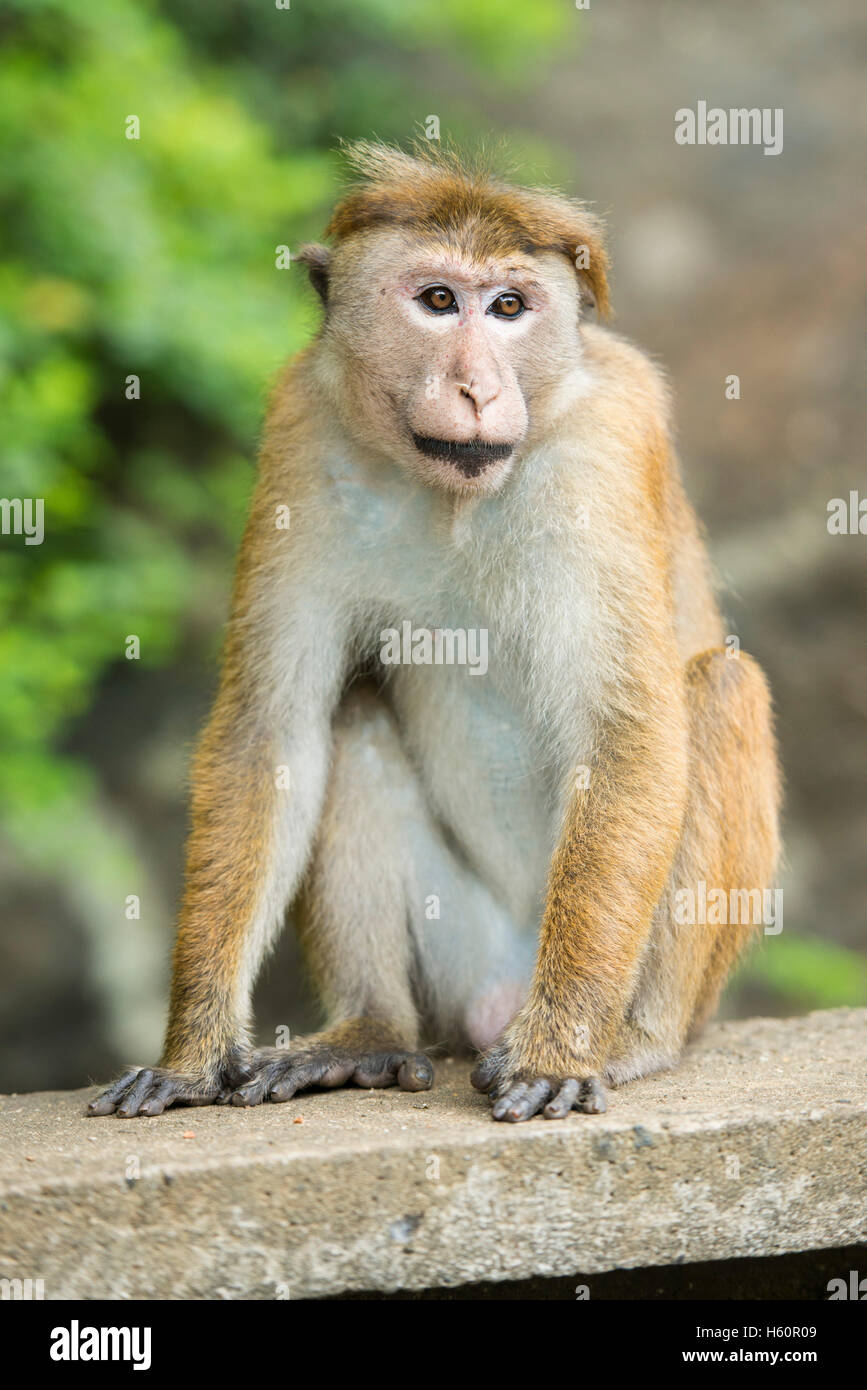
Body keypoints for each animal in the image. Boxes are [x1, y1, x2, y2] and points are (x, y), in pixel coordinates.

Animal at [89, 141, 780, 1125]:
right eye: (438, 300)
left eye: (509, 307)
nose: (478, 387)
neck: (456, 494)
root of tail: (501, 998)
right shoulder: (302, 429)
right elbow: (273, 730)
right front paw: (191, 1056)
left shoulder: (607, 445)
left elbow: (630, 734)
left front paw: (558, 1054)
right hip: (466, 960)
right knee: (350, 715)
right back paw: (369, 1033)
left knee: (720, 685)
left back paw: (630, 1042)